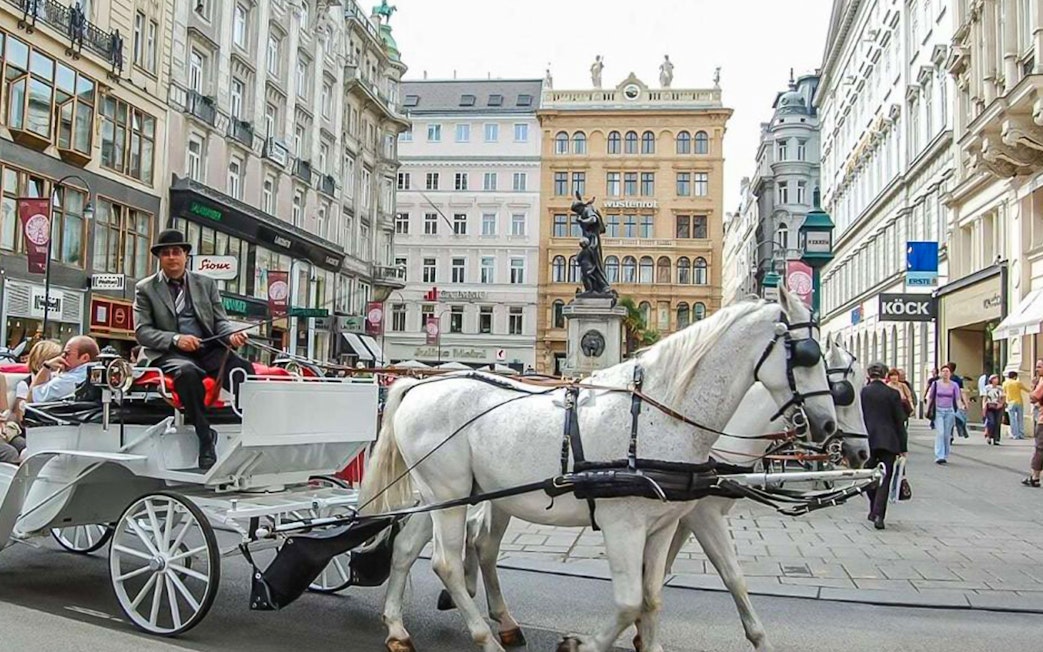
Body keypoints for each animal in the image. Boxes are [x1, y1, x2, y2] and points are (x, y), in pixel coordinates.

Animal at [359, 287, 837, 652]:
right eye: (808, 354)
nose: (828, 426)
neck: (658, 413)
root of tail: (419, 384)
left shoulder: (662, 526)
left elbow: (652, 597)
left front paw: (649, 643)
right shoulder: (623, 525)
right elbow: (628, 602)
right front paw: (582, 644)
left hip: (441, 496)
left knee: (407, 550)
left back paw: (398, 628)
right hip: (449, 497)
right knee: (447, 563)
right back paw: (486, 638)